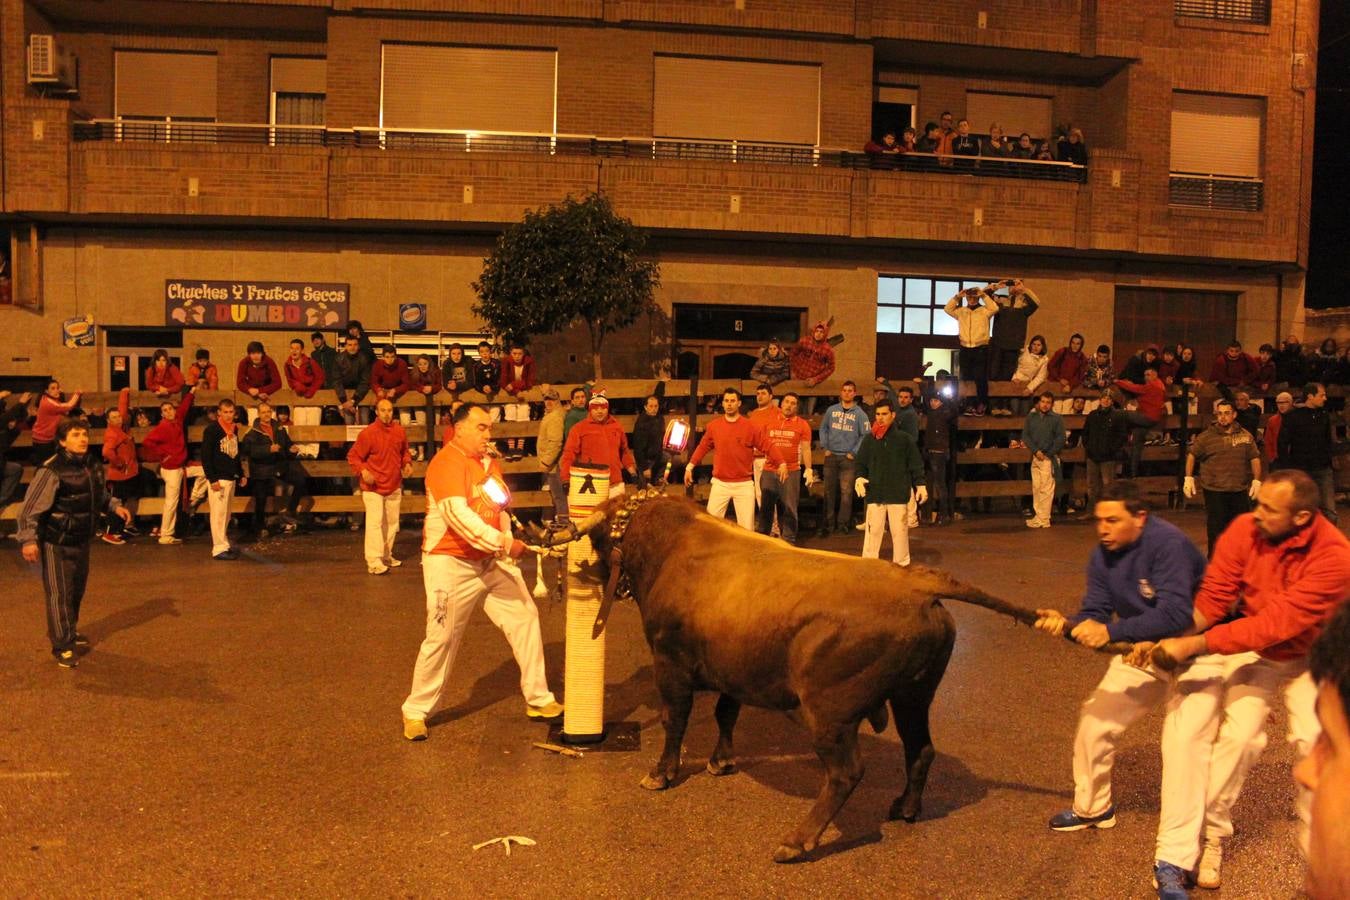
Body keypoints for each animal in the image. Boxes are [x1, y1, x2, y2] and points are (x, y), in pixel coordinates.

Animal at [545, 493, 1042, 863]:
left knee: (845, 772)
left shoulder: (671, 662)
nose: (592, 571)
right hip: (913, 696)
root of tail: (916, 583)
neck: (672, 547)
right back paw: (905, 808)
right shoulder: (734, 669)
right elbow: (726, 713)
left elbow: (676, 720)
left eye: (600, 541)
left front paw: (662, 773)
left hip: (830, 712)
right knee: (920, 750)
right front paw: (721, 761)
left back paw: (798, 841)